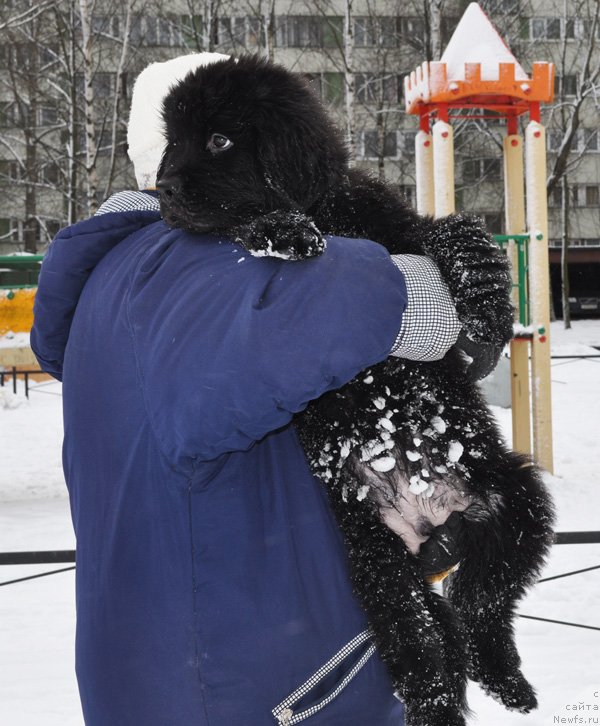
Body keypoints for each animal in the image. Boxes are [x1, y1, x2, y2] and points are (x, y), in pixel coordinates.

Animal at [157, 57, 556, 726]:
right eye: (172, 140)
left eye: (217, 140)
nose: (161, 187)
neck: (326, 206)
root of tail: (430, 520)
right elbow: (245, 223)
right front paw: (282, 229)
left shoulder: (393, 224)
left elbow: (447, 234)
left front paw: (483, 305)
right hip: (372, 556)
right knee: (425, 640)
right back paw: (444, 702)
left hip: (516, 502)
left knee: (480, 608)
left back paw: (507, 682)